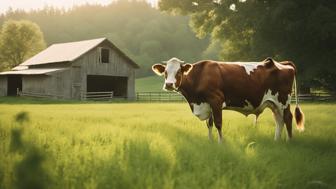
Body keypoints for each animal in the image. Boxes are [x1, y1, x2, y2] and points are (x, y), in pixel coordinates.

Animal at [152, 56, 304, 142]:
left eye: (178, 71)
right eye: (165, 72)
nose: (169, 84)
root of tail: (282, 63)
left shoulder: (216, 100)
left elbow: (218, 123)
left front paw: (221, 143)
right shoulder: (207, 104)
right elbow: (209, 124)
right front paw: (210, 142)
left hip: (283, 100)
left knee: (288, 118)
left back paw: (289, 141)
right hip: (274, 103)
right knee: (279, 120)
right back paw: (276, 140)